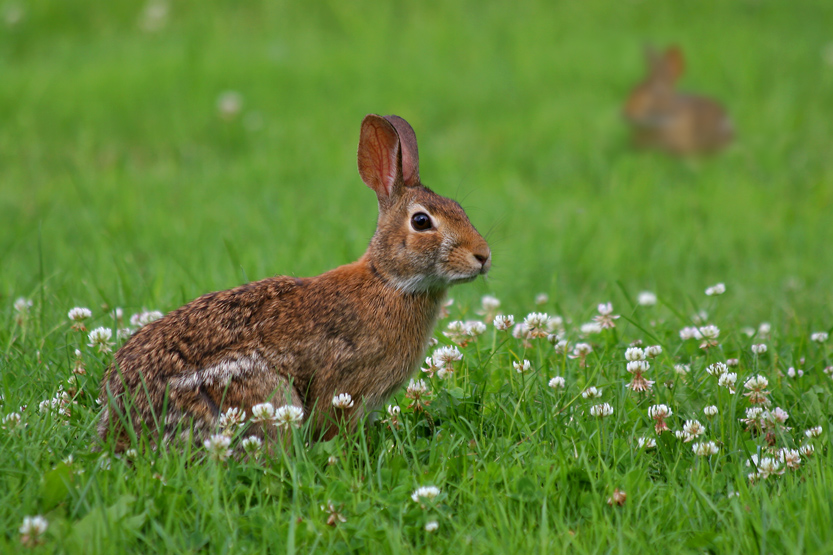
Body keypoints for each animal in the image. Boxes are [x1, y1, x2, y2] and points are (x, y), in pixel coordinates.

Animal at [98, 114, 490, 452]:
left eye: (460, 208)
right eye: (422, 221)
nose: (483, 256)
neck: (389, 281)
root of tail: (123, 432)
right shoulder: (344, 386)